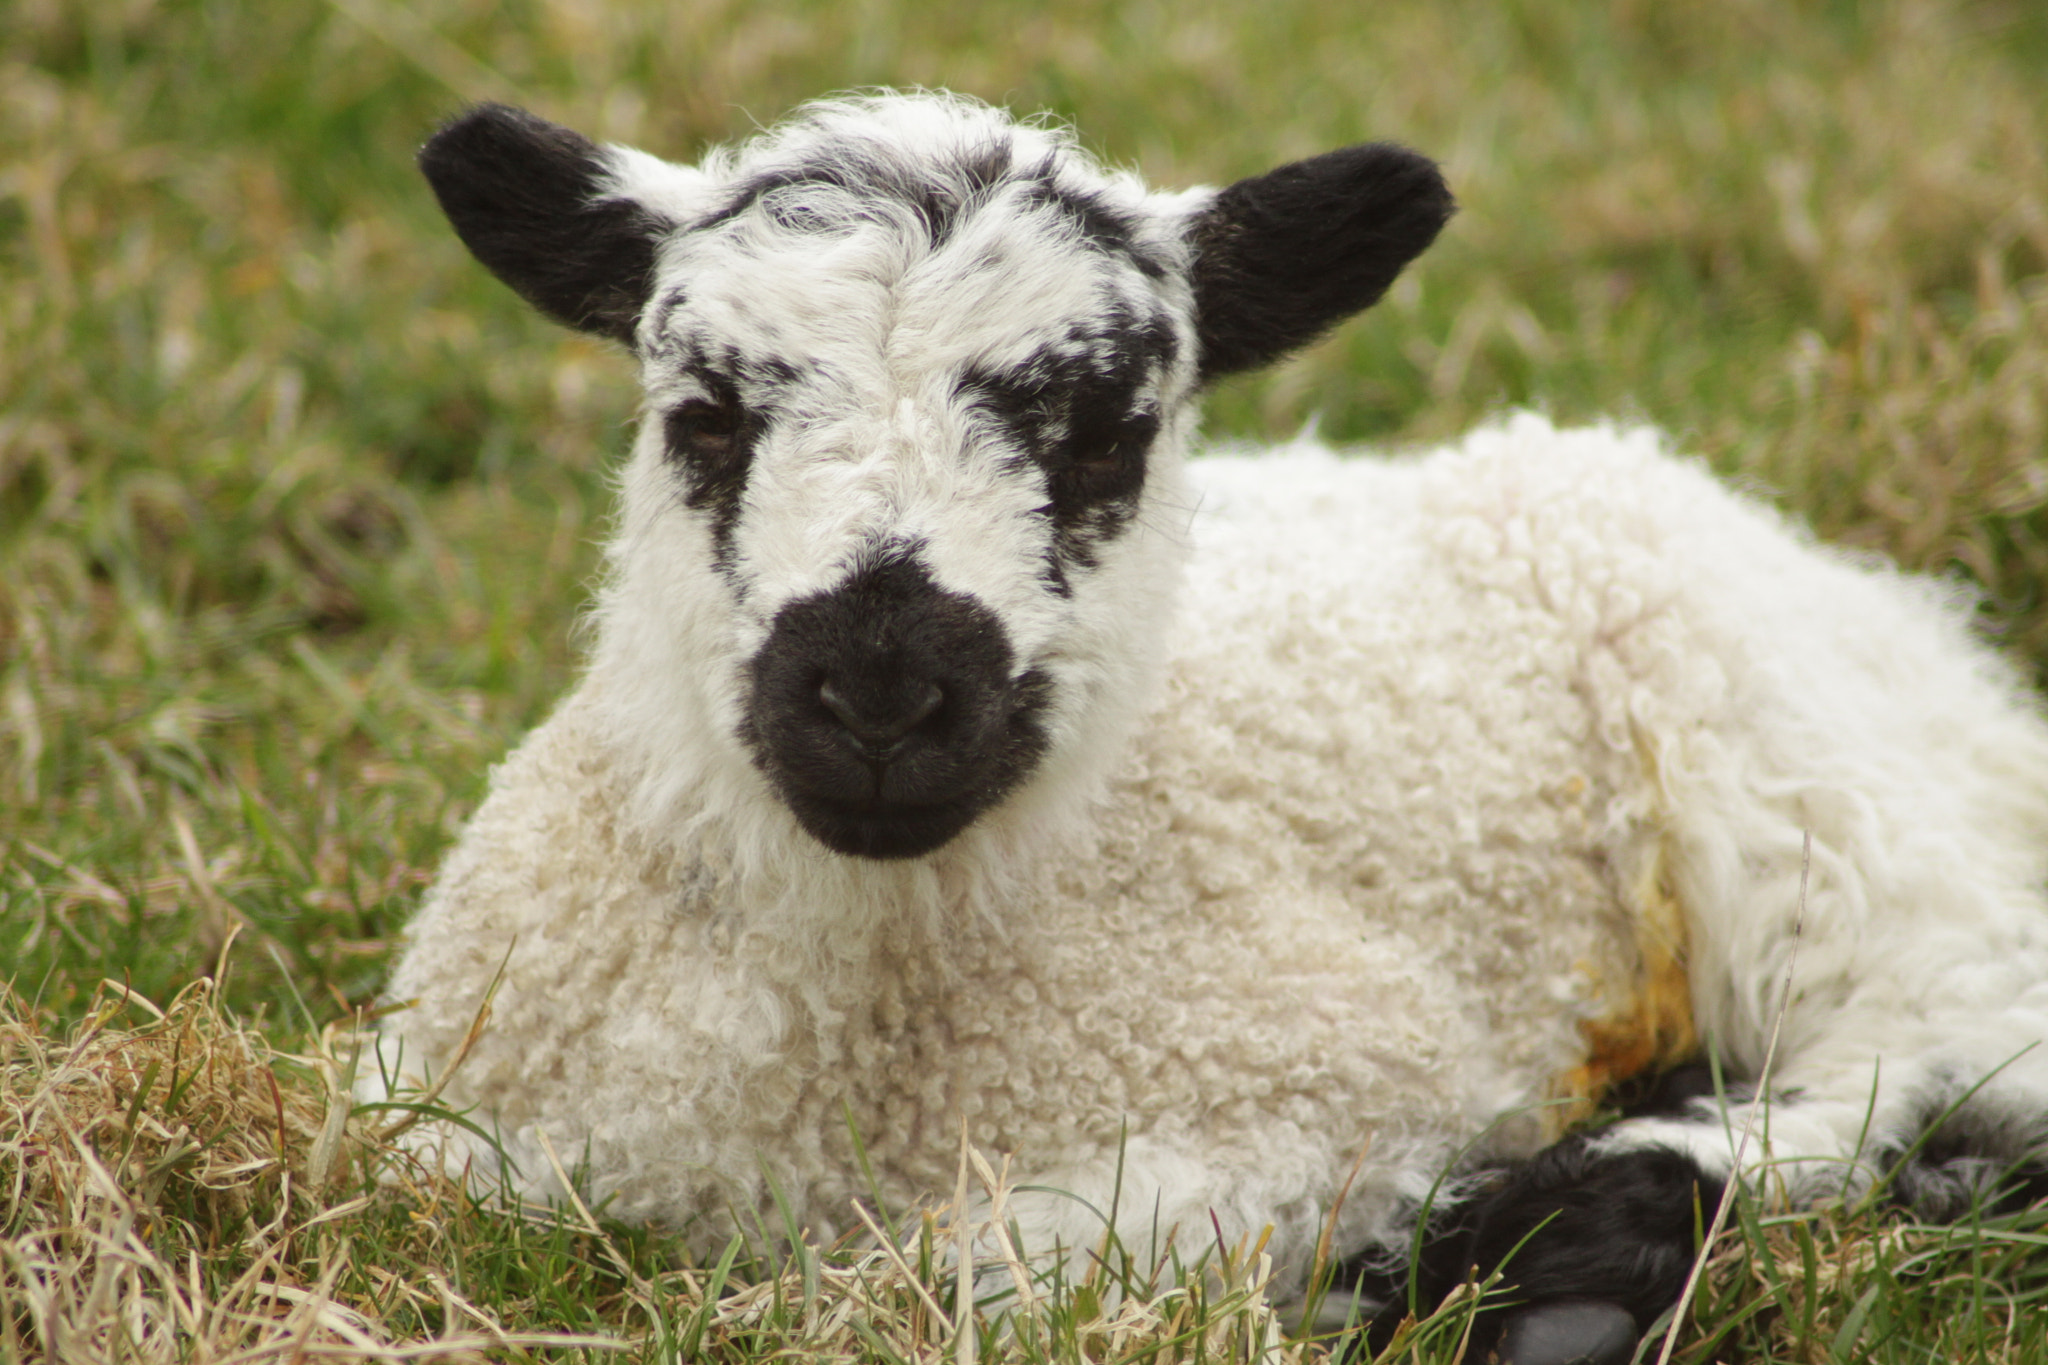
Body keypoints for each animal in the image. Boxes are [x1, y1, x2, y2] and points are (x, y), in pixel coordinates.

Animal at [370, 91, 2048, 1363]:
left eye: (1109, 436)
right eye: (704, 417)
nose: (883, 692)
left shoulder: (1344, 1075)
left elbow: (1013, 1266)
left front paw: (1387, 1258)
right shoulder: (453, 1130)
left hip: (1803, 788)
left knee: (1937, 1037)